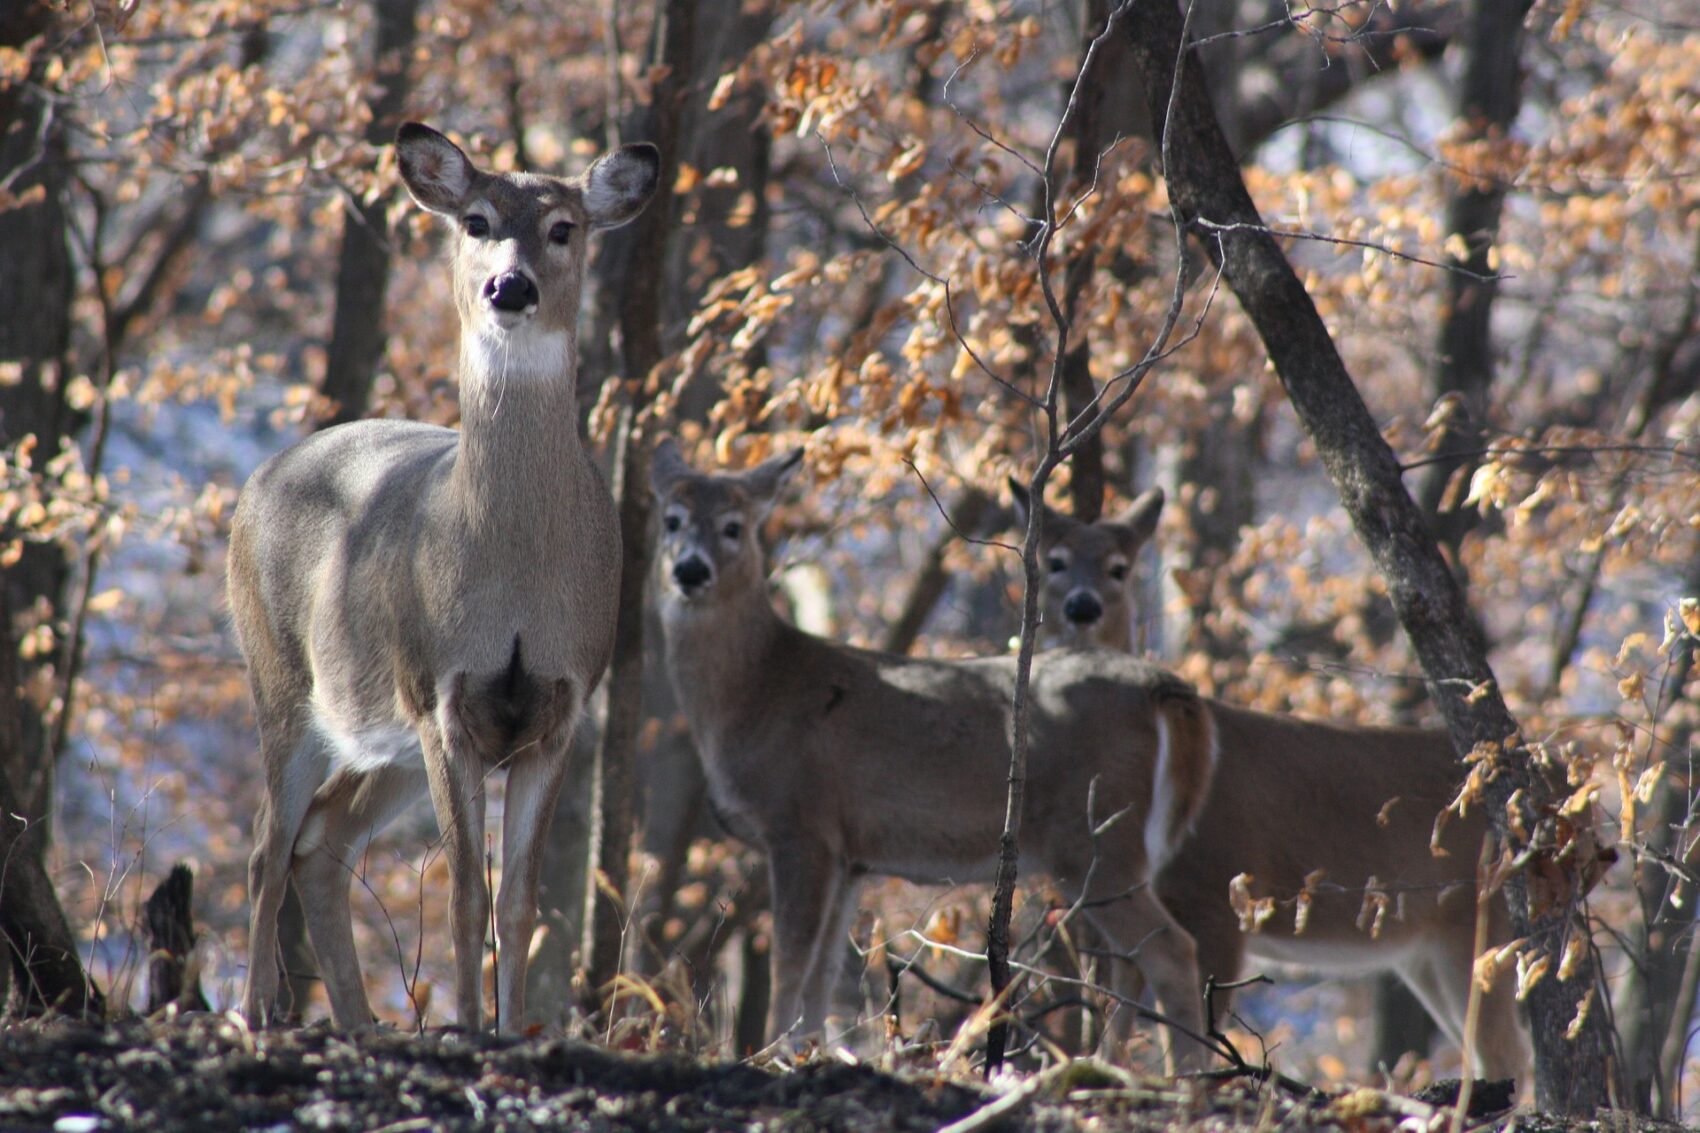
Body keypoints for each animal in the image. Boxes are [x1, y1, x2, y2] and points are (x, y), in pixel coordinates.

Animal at [226, 123, 649, 1034]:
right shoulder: (440, 693)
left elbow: (519, 902)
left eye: (563, 226)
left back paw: (357, 1021)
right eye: (476, 219)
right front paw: (468, 1024)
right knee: (266, 846)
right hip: (282, 679)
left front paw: (511, 1028)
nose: (509, 285)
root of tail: (257, 481)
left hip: (380, 741)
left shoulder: (564, 701)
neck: (515, 574)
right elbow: (465, 892)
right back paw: (257, 1008)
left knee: (320, 842)